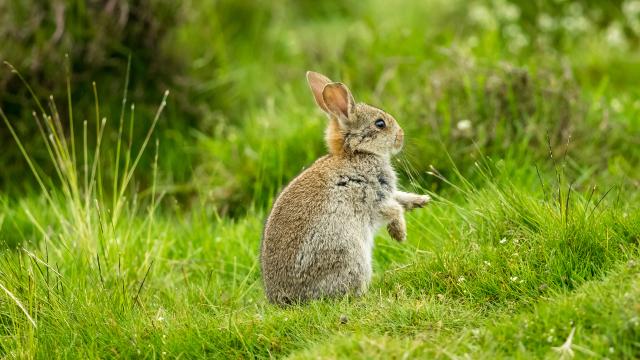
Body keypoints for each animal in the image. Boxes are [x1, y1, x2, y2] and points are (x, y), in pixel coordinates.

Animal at [260, 70, 430, 304]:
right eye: (380, 124)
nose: (401, 137)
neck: (357, 153)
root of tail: (286, 300)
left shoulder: (387, 193)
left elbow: (400, 198)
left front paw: (421, 201)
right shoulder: (371, 197)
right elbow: (393, 209)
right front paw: (399, 234)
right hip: (348, 253)